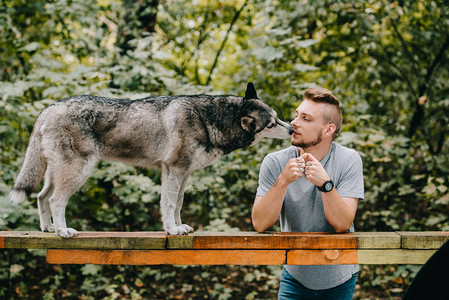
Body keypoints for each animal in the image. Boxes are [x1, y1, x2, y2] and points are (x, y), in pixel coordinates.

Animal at [9, 82, 294, 237]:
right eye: (271, 124)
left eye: (278, 118)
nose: (292, 128)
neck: (210, 119)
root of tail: (49, 109)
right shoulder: (175, 170)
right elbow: (168, 204)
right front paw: (172, 230)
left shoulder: (181, 174)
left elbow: (176, 204)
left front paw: (178, 227)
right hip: (78, 172)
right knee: (55, 200)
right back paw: (62, 231)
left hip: (57, 174)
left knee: (41, 197)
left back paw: (48, 229)